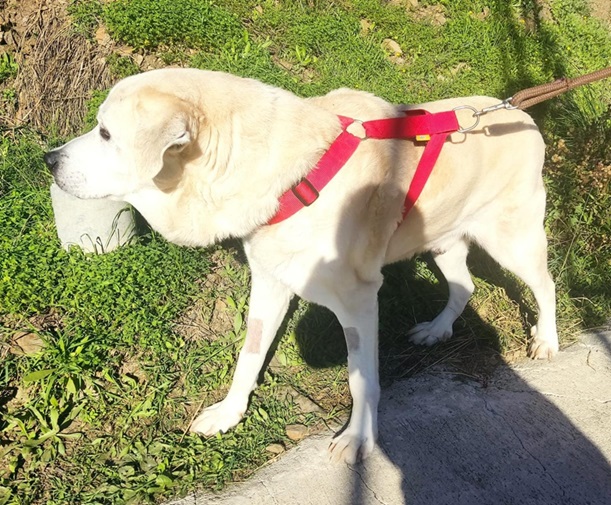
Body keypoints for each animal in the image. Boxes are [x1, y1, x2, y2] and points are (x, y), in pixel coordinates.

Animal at [44, 68, 558, 464]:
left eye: (106, 133)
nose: (48, 158)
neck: (287, 176)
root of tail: (522, 115)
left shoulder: (358, 302)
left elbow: (361, 380)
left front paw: (358, 439)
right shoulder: (270, 282)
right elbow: (249, 355)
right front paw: (229, 412)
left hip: (512, 240)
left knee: (546, 283)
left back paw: (547, 341)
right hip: (444, 241)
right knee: (464, 286)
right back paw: (436, 330)